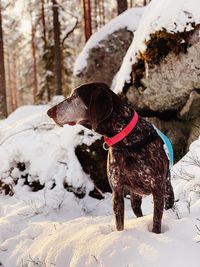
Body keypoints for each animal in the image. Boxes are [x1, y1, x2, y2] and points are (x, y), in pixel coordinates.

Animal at [47, 82, 174, 233]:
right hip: (135, 198)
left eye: (75, 96)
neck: (125, 140)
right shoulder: (117, 190)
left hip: (167, 190)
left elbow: (156, 222)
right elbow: (120, 224)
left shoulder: (157, 189)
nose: (49, 112)